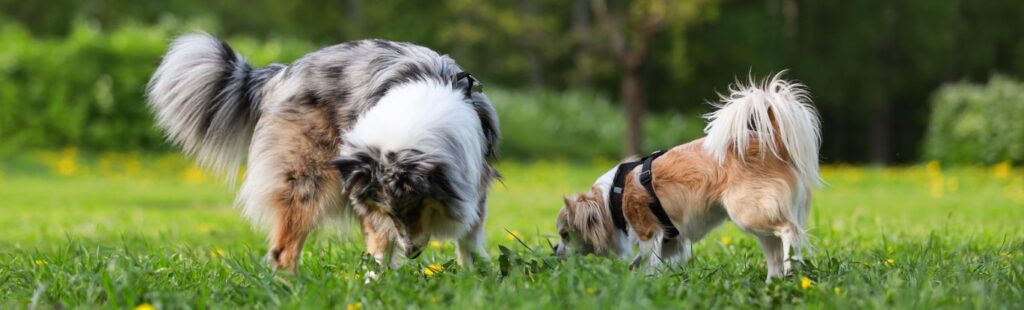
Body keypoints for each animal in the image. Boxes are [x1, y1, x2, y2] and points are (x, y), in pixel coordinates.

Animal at [552, 74, 823, 280]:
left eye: (565, 234)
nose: (554, 249)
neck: (612, 199)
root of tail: (775, 143)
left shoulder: (649, 232)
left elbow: (649, 258)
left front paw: (646, 281)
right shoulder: (672, 241)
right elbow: (654, 259)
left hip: (749, 212)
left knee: (790, 231)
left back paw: (791, 265)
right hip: (760, 223)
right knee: (775, 255)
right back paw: (773, 283)